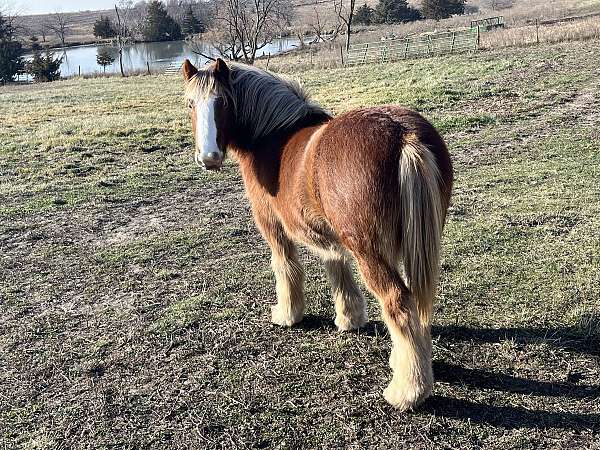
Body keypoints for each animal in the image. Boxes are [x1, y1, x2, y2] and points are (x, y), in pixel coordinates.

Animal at [180, 58, 452, 410]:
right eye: (191, 103)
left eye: (223, 102)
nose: (209, 157)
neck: (273, 136)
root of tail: (403, 136)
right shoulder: (328, 236)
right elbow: (336, 265)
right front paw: (349, 318)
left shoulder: (273, 227)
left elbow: (285, 268)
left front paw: (287, 314)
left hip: (371, 250)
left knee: (398, 303)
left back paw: (407, 391)